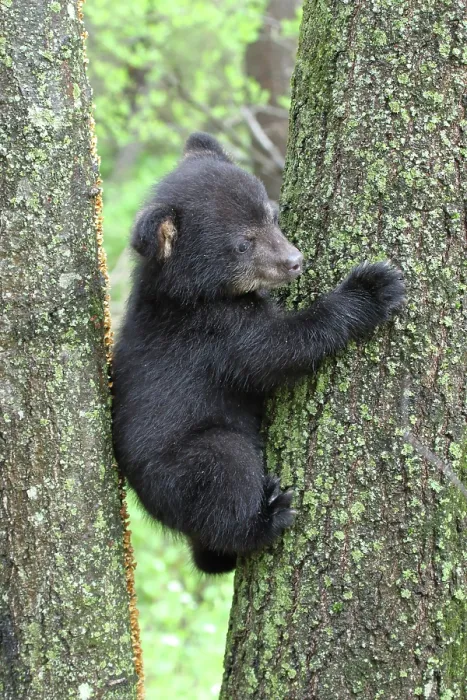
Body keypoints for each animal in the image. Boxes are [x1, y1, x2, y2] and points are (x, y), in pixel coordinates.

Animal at [112, 132, 405, 574]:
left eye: (271, 214)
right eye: (241, 244)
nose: (294, 261)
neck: (193, 293)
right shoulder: (214, 333)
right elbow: (278, 348)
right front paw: (371, 288)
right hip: (183, 466)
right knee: (225, 472)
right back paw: (267, 517)